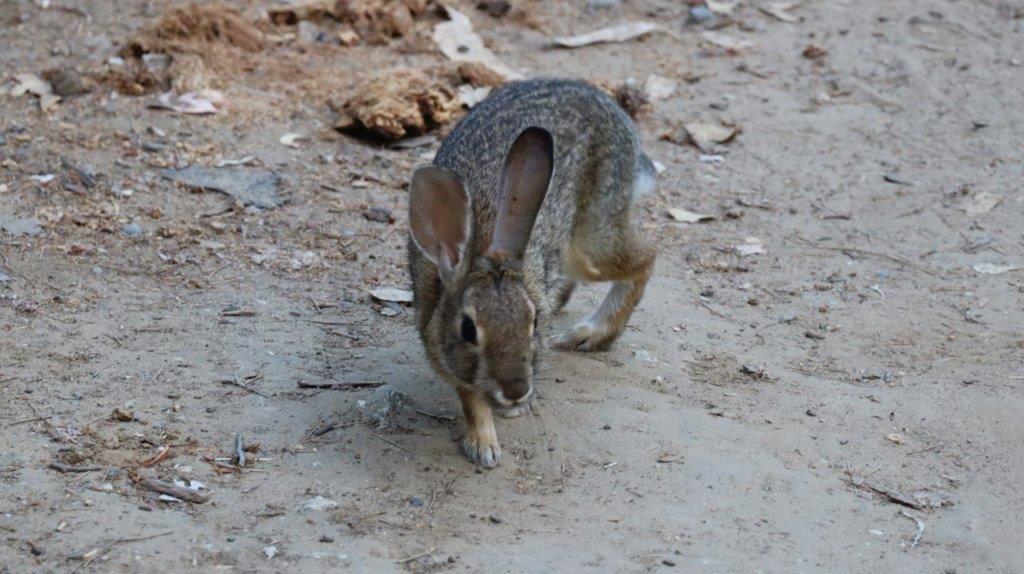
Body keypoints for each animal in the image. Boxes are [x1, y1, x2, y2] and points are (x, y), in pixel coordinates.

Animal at [407, 78, 655, 468]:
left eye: (534, 322)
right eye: (467, 329)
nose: (516, 389)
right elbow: (472, 402)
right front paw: (484, 447)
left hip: (589, 243)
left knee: (646, 257)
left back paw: (590, 335)